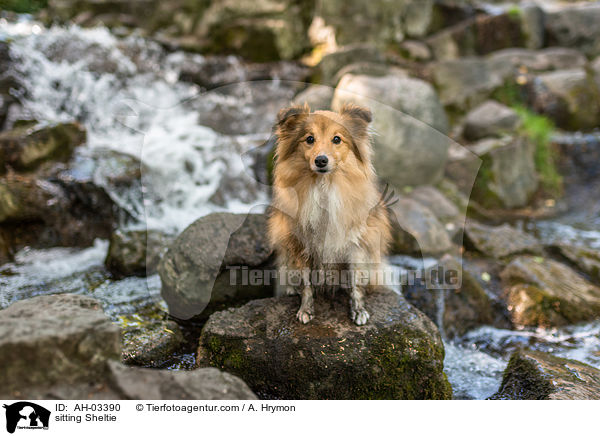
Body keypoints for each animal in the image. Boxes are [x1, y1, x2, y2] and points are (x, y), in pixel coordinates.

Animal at [268, 102, 392, 326]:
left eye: (337, 139)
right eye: (309, 139)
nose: (321, 160)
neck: (324, 187)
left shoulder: (355, 245)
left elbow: (355, 282)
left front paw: (358, 310)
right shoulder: (301, 245)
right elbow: (306, 283)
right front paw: (306, 309)